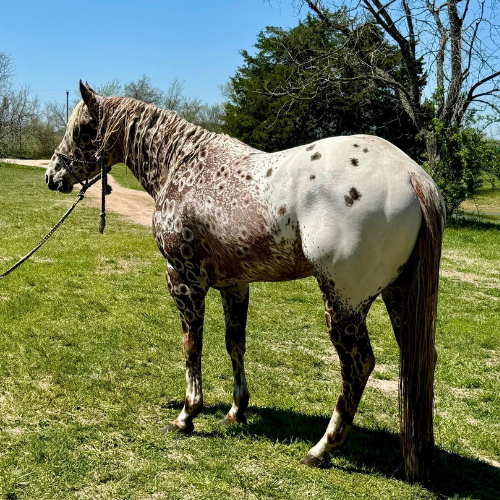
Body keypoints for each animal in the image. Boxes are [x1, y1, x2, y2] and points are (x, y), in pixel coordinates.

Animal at [46, 81, 446, 480]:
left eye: (82, 130)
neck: (184, 165)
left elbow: (192, 346)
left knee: (359, 365)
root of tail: (411, 176)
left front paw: (187, 415)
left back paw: (321, 449)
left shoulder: (184, 282)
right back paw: (418, 451)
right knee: (421, 359)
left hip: (344, 305)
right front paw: (236, 411)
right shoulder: (234, 286)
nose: (52, 175)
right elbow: (234, 344)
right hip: (399, 296)